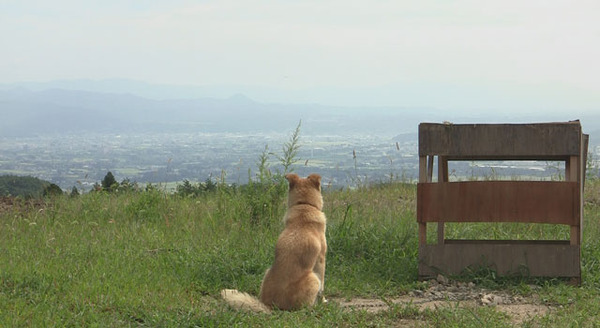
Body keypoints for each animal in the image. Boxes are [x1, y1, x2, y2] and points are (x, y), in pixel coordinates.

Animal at [220, 172, 326, 312]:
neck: (304, 205)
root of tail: (272, 307)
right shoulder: (321, 259)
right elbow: (323, 284)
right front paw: (323, 300)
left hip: (267, 271)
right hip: (313, 278)